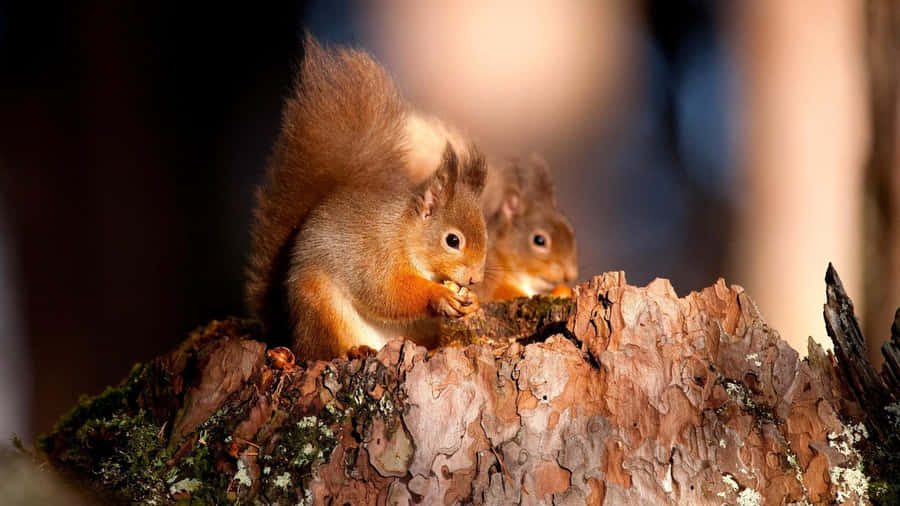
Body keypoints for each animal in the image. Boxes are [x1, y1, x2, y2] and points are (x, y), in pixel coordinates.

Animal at [245, 37, 488, 360]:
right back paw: (353, 351)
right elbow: (387, 292)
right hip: (320, 307)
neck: (403, 233)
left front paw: (473, 302)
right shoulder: (375, 256)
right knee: (320, 351)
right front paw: (439, 296)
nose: (475, 279)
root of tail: (291, 331)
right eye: (452, 240)